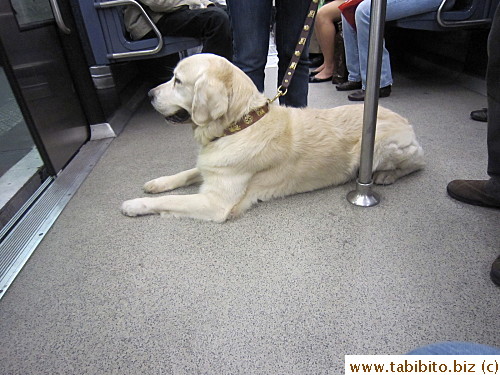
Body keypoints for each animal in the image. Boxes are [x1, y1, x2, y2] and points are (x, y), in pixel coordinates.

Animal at [120, 53, 422, 223]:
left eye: (178, 81)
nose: (149, 94)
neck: (239, 125)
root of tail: (406, 121)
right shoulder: (212, 167)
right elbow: (185, 174)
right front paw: (157, 183)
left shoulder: (216, 203)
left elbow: (171, 201)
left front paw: (133, 205)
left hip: (377, 147)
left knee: (417, 162)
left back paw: (387, 176)